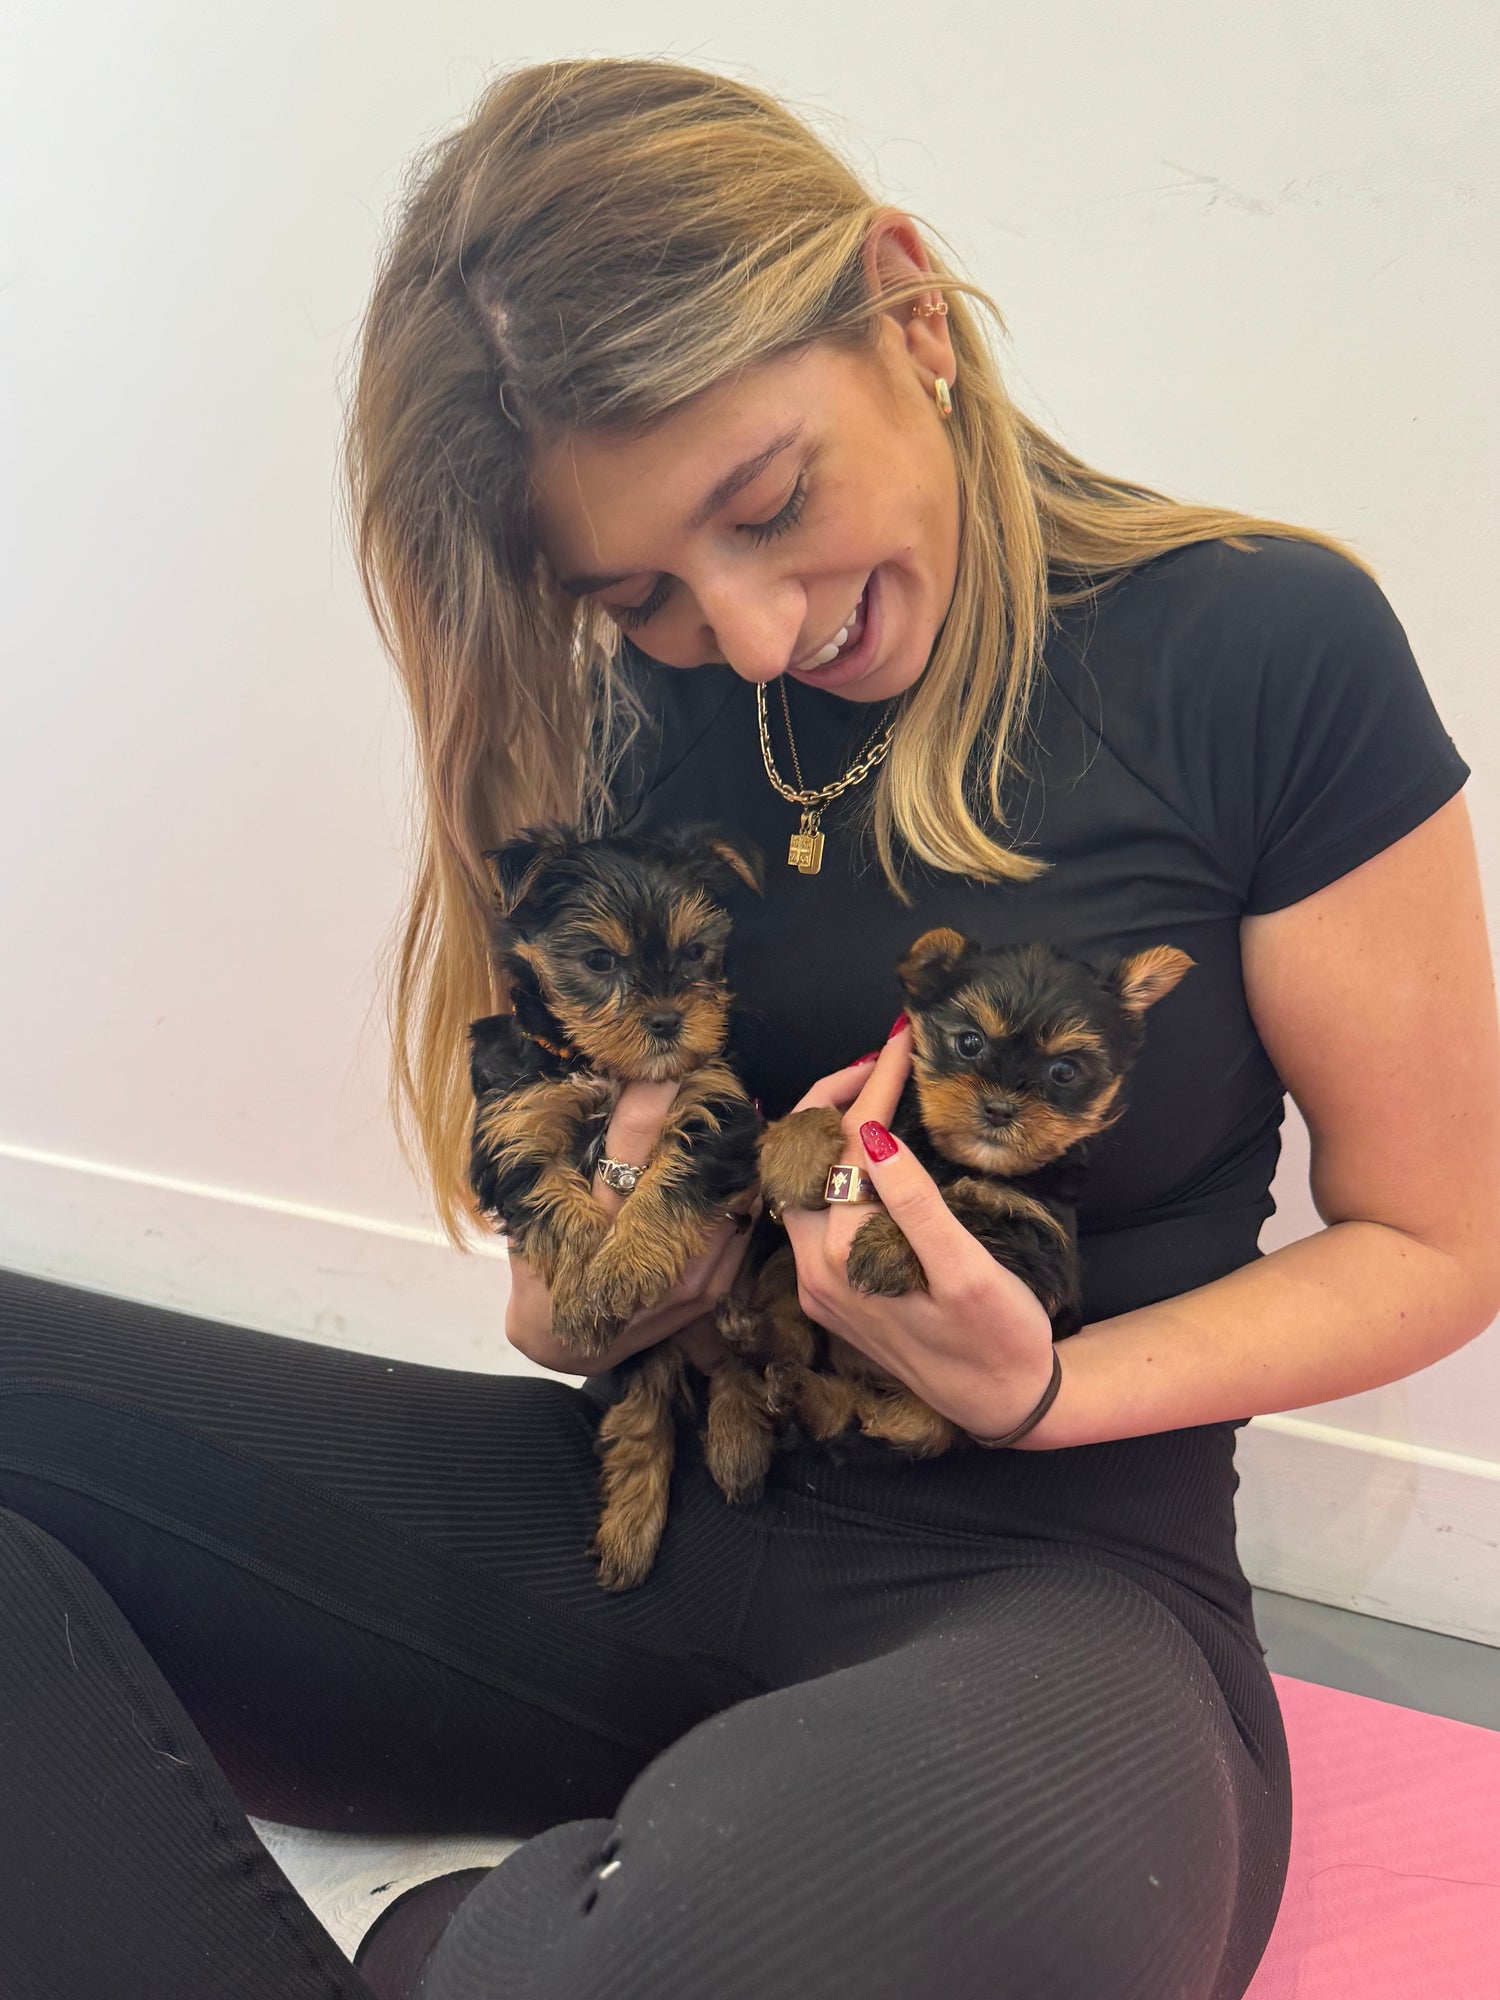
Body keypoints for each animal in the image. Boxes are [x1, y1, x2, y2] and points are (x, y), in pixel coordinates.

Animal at [464, 820, 768, 1584]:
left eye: (694, 953)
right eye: (600, 960)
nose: (667, 1020)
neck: (601, 1069)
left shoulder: (717, 1106)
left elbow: (673, 1179)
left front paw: (624, 1265)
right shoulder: (513, 1130)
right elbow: (552, 1198)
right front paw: (584, 1291)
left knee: (739, 1358)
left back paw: (739, 1437)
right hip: (646, 1354)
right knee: (642, 1418)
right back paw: (631, 1531)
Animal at [728, 932, 1200, 1472]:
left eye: (1064, 1071)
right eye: (970, 1042)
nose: (999, 1108)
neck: (957, 1161)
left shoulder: (1042, 1247)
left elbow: (970, 1215)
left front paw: (890, 1246)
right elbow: (843, 1108)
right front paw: (795, 1148)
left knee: (886, 1423)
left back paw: (800, 1390)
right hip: (788, 1280)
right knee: (798, 1340)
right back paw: (762, 1344)